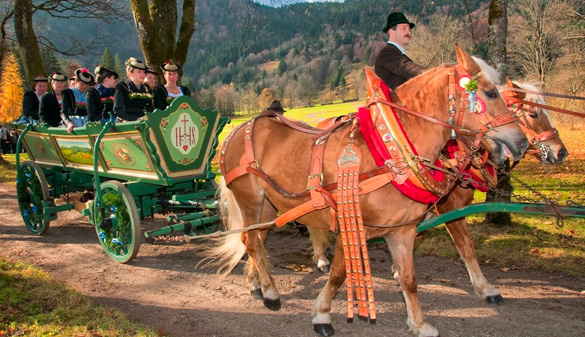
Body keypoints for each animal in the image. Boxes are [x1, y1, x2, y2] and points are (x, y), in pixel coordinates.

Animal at [208, 45, 528, 336]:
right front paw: (322, 314)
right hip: (251, 200)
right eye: (490, 93)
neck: (388, 149)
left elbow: (410, 279)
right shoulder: (349, 226)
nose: (521, 142)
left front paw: (418, 323)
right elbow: (339, 274)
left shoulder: (401, 231)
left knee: (254, 241)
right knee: (252, 241)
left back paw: (257, 284)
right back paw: (271, 292)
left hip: (270, 207)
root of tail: (240, 129)